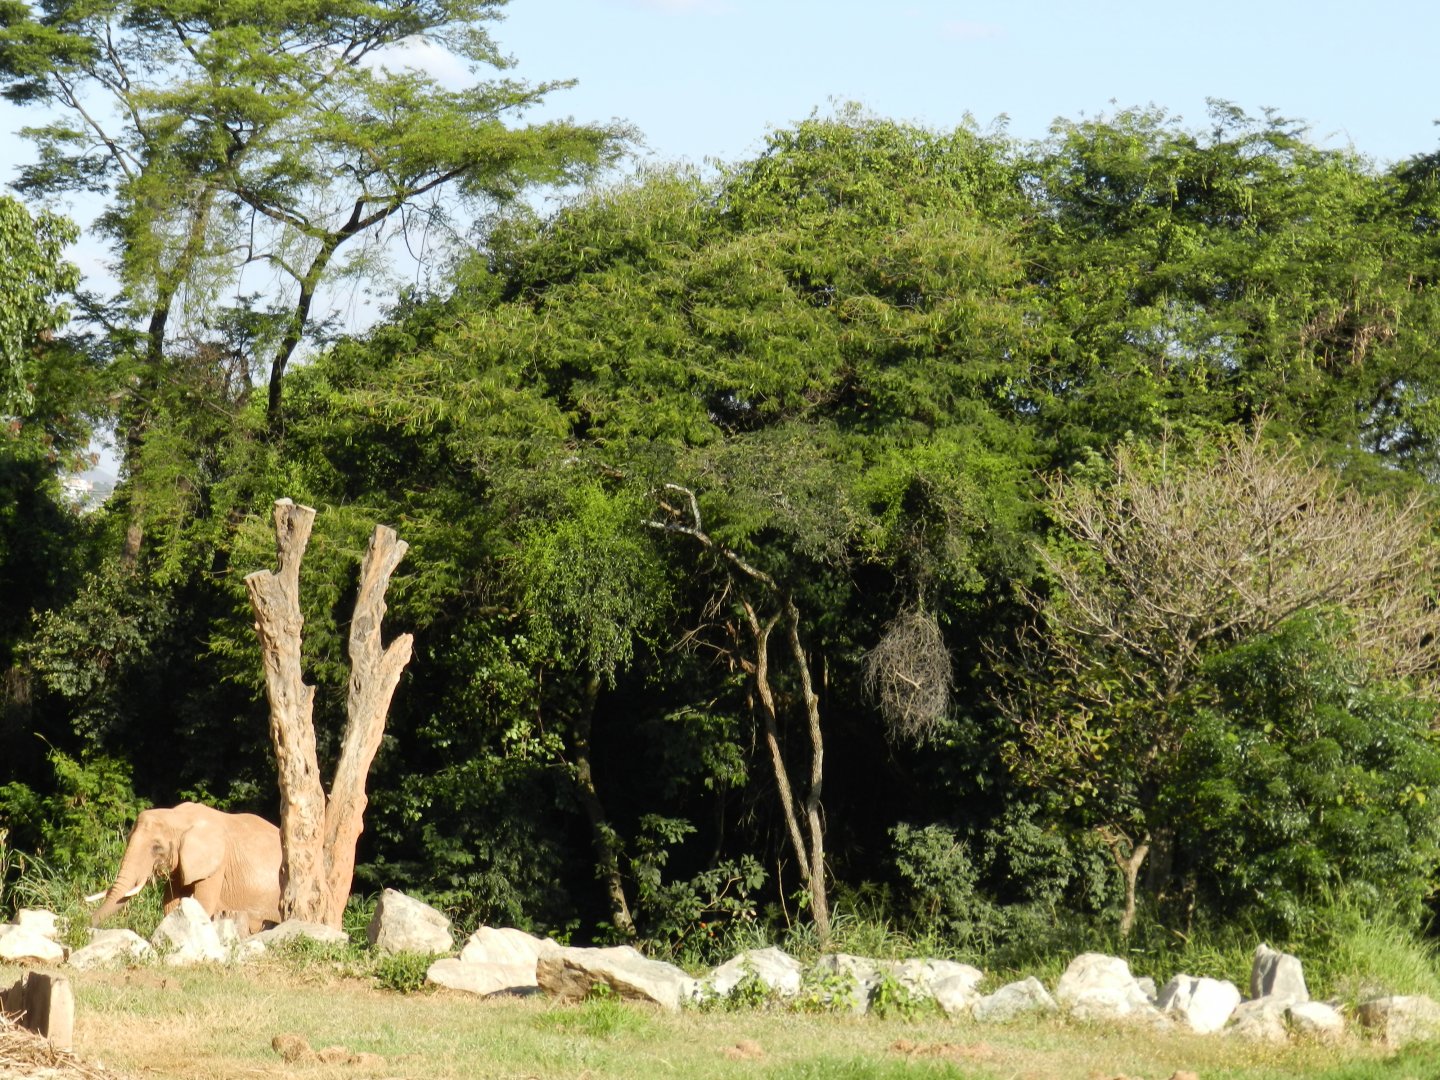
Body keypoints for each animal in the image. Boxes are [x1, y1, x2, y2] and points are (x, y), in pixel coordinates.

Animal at [89, 802, 283, 933]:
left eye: (156, 848)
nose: (85, 924)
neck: (177, 816)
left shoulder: (216, 862)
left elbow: (203, 902)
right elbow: (170, 903)